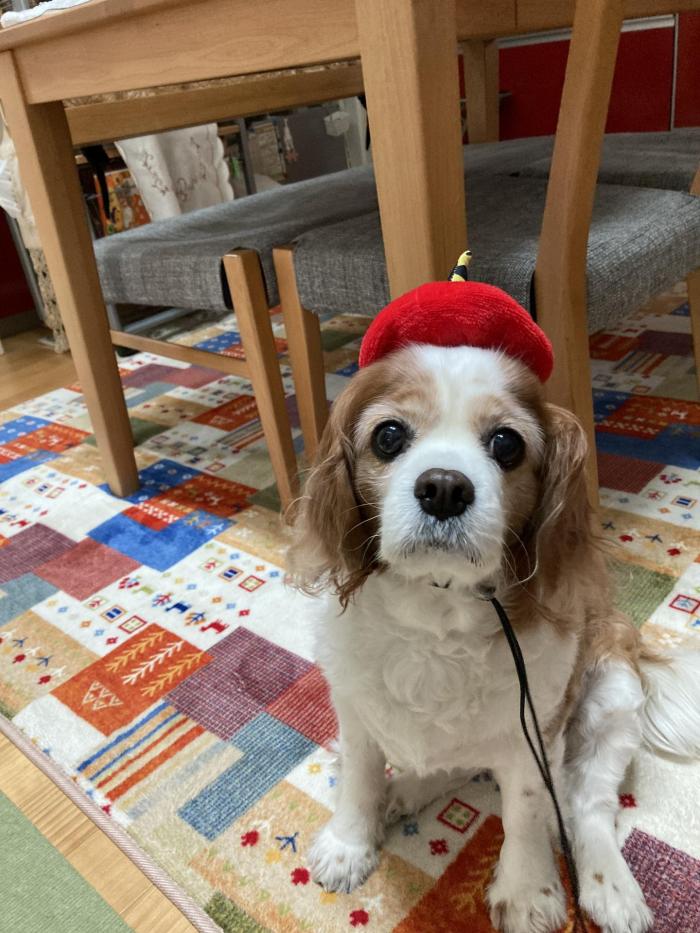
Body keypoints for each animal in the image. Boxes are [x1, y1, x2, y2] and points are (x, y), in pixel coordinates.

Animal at [288, 342, 700, 933]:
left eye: (507, 443)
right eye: (388, 435)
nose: (444, 487)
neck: (436, 611)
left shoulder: (535, 730)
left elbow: (526, 812)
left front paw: (527, 890)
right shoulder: (355, 709)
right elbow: (360, 779)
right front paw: (349, 845)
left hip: (613, 697)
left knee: (586, 805)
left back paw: (610, 887)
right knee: (461, 761)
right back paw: (407, 788)